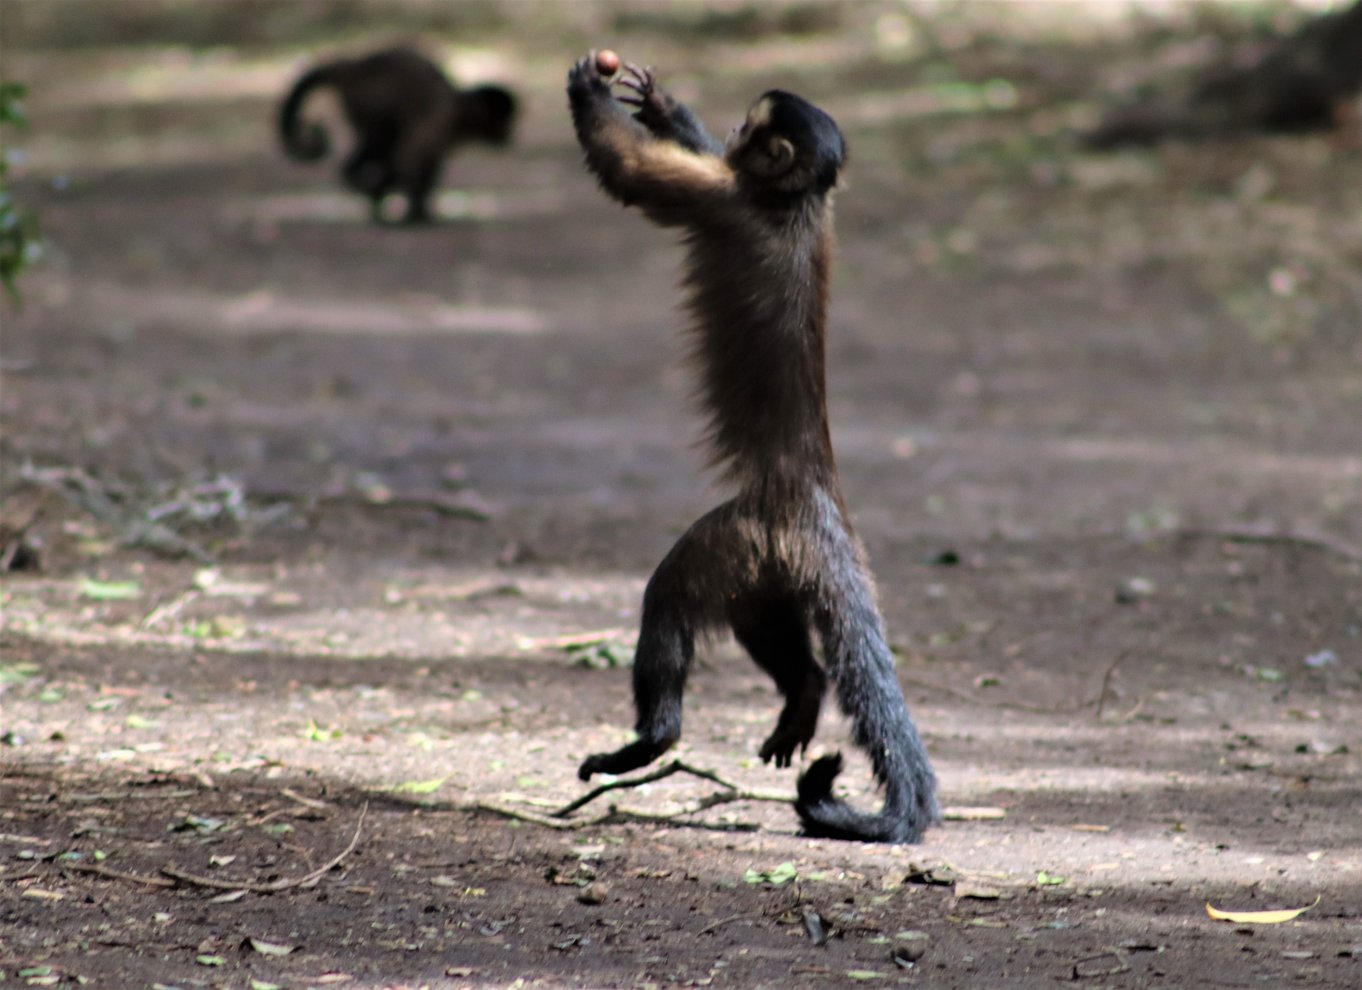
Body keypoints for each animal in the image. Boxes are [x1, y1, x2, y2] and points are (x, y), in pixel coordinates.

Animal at [276, 47, 514, 223]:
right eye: (504, 123)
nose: (509, 135)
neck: (459, 114)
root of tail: (353, 67)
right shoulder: (439, 122)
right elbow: (407, 158)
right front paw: (415, 213)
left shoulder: (443, 140)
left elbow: (424, 166)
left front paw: (411, 205)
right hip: (368, 101)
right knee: (380, 140)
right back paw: (360, 181)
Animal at [563, 52, 937, 844]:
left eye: (753, 126)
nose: (736, 129)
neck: (797, 204)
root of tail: (819, 497)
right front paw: (662, 105)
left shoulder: (726, 198)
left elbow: (636, 173)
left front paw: (588, 91)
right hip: (774, 567)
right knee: (766, 628)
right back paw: (804, 691)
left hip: (743, 536)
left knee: (671, 595)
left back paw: (652, 740)